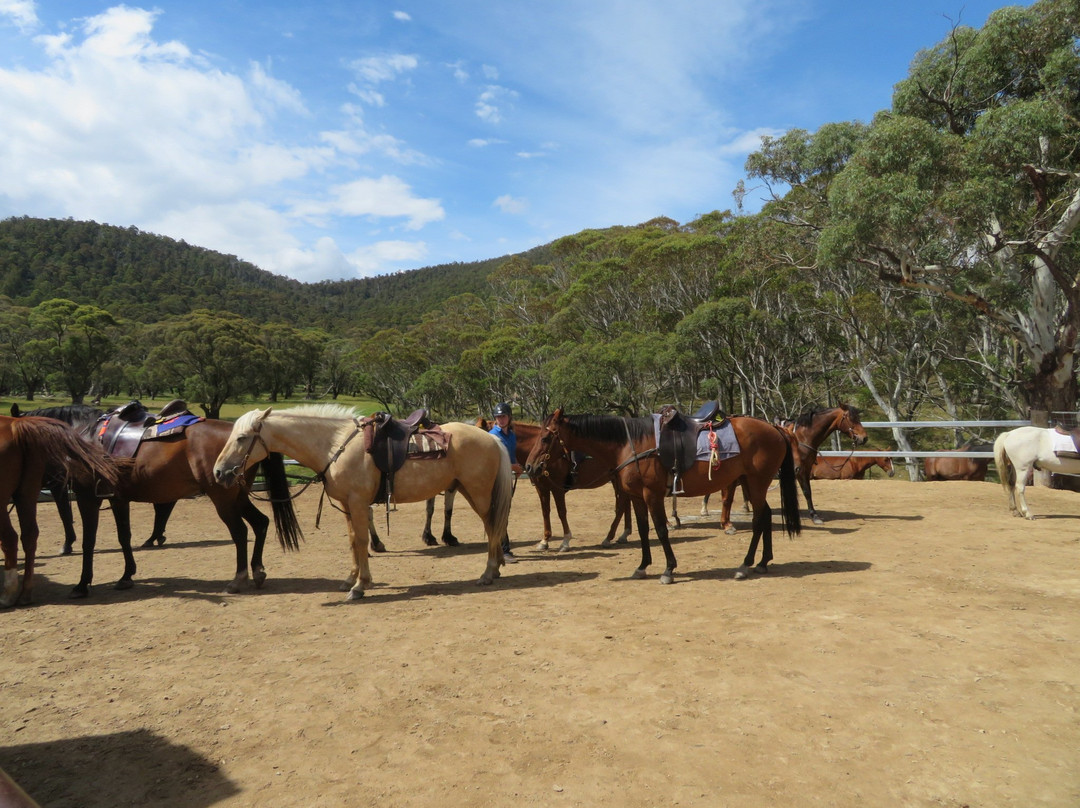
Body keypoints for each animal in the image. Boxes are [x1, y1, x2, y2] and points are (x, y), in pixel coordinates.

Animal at [1, 415, 119, 607]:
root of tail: (15, 426)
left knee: (10, 538)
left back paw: (7, 595)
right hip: (26, 493)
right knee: (29, 535)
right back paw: (25, 593)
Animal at [212, 405, 513, 600]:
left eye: (241, 438)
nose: (219, 472)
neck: (334, 446)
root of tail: (491, 438)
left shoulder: (357, 503)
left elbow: (361, 541)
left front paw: (360, 586)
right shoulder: (348, 505)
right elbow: (352, 540)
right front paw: (351, 579)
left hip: (478, 493)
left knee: (492, 527)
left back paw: (488, 573)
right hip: (468, 490)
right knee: (494, 527)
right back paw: (497, 567)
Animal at [524, 409, 800, 582]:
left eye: (546, 437)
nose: (529, 467)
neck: (630, 444)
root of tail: (774, 428)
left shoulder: (652, 495)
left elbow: (660, 529)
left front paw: (668, 570)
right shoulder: (637, 497)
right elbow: (643, 530)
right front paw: (642, 566)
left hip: (757, 481)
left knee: (759, 518)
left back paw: (745, 565)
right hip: (751, 482)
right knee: (765, 516)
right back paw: (762, 562)